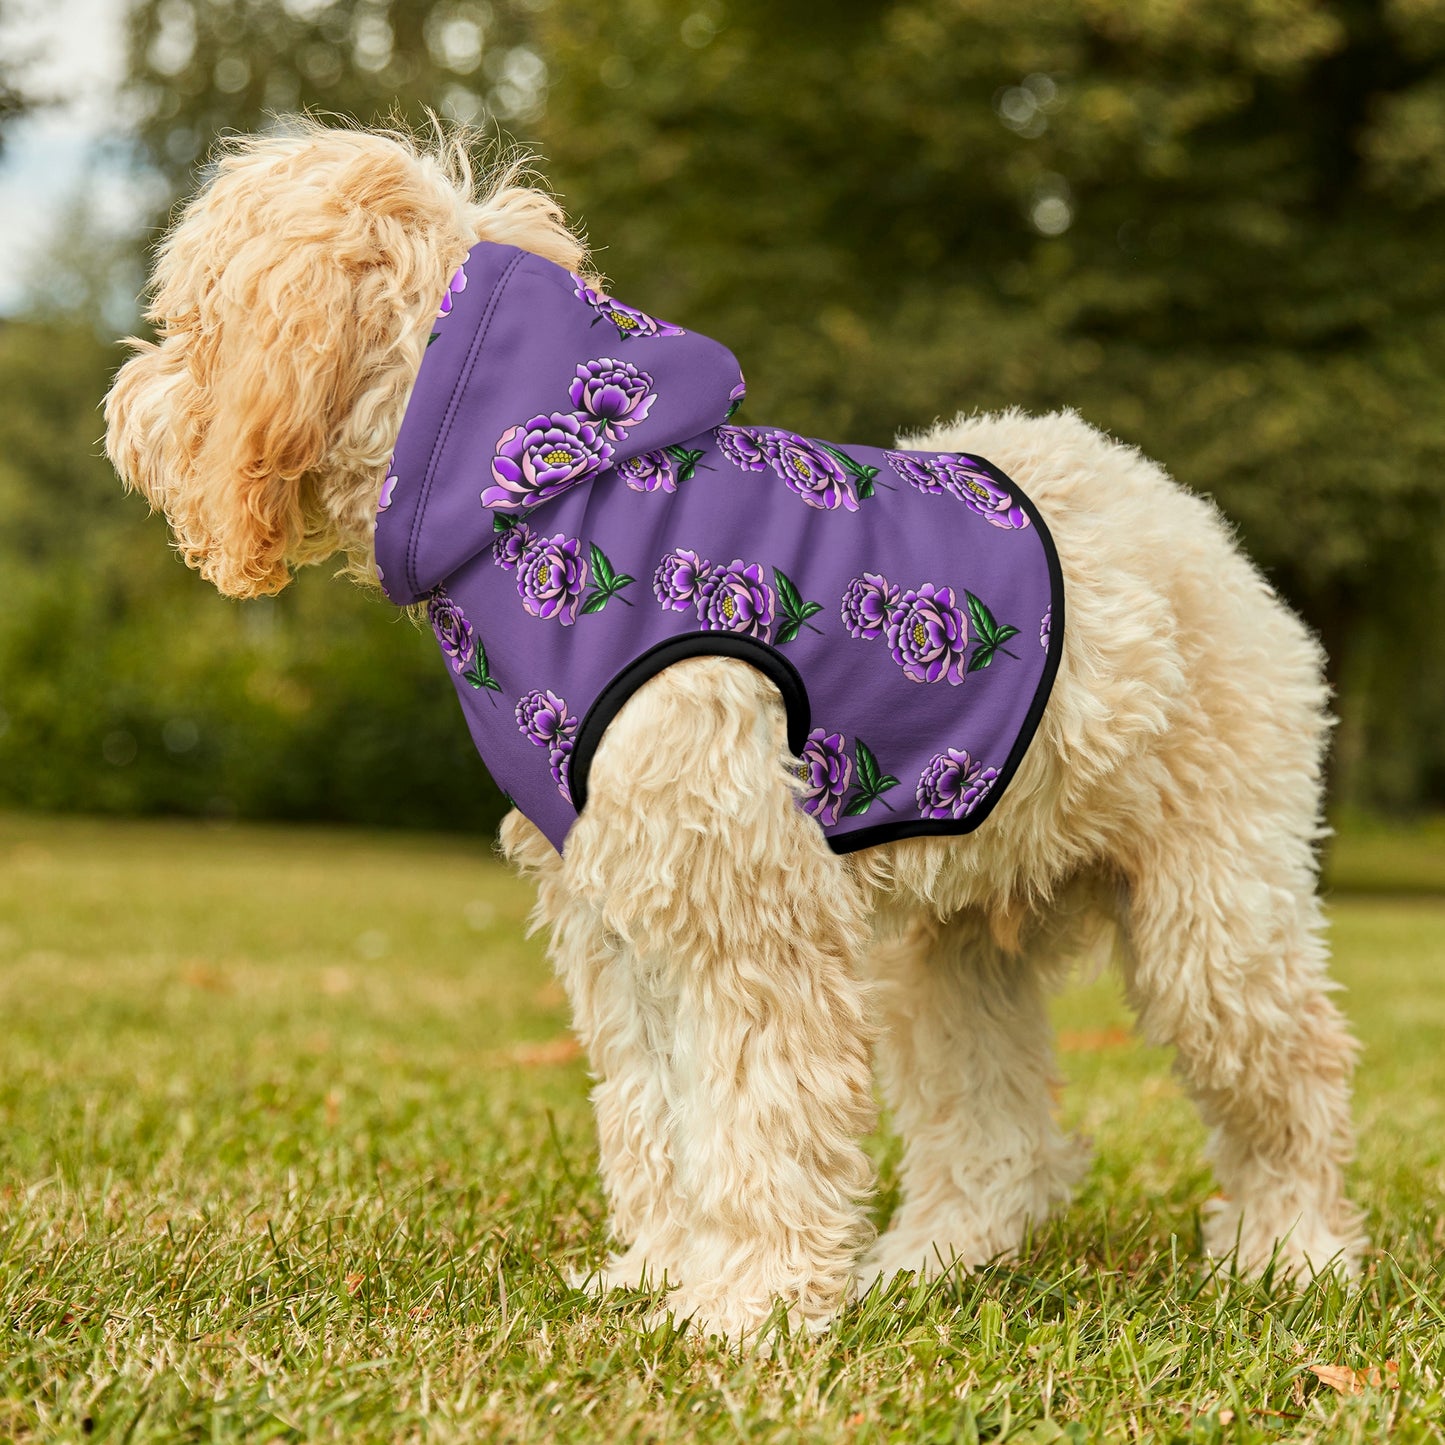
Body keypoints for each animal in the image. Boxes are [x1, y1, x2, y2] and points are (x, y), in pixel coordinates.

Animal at [104, 124, 1364, 1340]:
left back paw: (1290, 1252)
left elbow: (758, 1112)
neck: (549, 494)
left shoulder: (744, 905)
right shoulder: (619, 912)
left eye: (190, 319)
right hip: (949, 947)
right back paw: (929, 1260)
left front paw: (747, 1305)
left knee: (1292, 1075)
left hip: (1213, 913)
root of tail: (1187, 518)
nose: (123, 407)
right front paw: (661, 1273)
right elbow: (657, 1111)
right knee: (995, 1132)